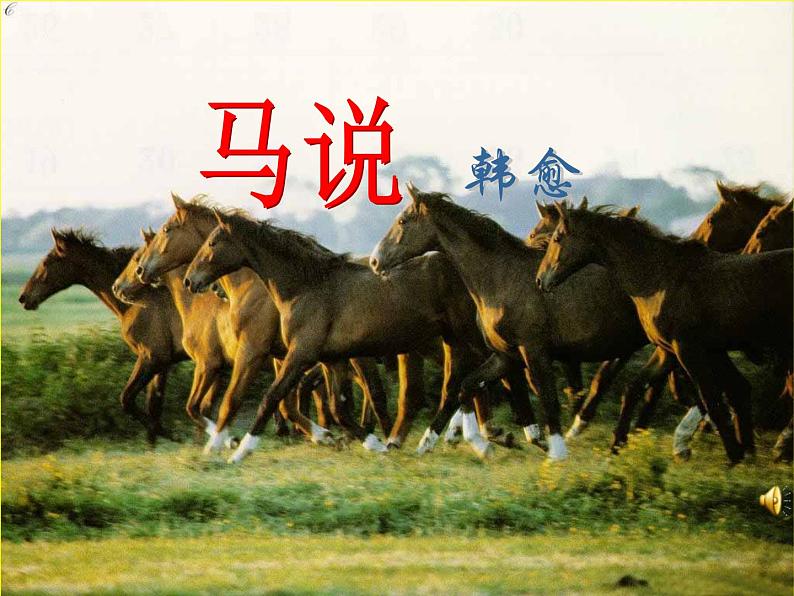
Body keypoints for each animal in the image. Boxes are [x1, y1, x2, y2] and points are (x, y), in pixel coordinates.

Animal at [18, 228, 186, 443]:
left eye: (47, 262)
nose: (24, 297)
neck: (138, 301)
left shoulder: (153, 358)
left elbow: (127, 400)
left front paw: (172, 435)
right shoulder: (162, 364)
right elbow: (153, 406)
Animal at [183, 210, 531, 463]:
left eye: (212, 243)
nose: (190, 280)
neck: (305, 287)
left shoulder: (299, 354)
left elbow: (270, 397)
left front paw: (240, 451)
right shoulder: (332, 360)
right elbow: (338, 409)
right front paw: (372, 444)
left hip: (465, 335)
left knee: (496, 372)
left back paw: (510, 435)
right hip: (451, 338)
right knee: (461, 383)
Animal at [370, 184, 649, 460]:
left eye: (403, 221)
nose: (374, 261)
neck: (500, 277)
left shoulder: (533, 350)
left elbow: (546, 396)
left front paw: (555, 451)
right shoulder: (506, 354)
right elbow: (469, 386)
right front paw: (429, 443)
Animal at [536, 202, 793, 463]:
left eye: (557, 238)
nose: (539, 280)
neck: (660, 279)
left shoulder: (687, 349)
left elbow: (711, 399)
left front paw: (733, 457)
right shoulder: (672, 349)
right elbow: (634, 389)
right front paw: (615, 448)